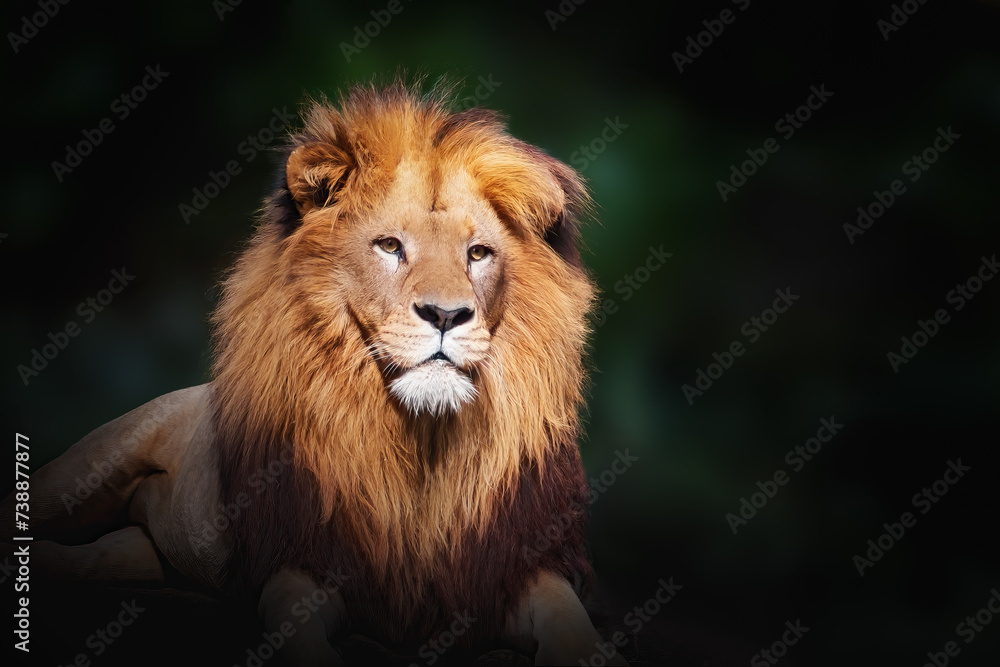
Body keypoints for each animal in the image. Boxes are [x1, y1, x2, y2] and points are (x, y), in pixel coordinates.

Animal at [2, 81, 628, 666]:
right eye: (389, 246)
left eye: (478, 253)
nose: (447, 315)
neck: (421, 439)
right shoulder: (304, 558)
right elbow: (293, 620)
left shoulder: (515, 566)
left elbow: (566, 615)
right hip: (90, 468)